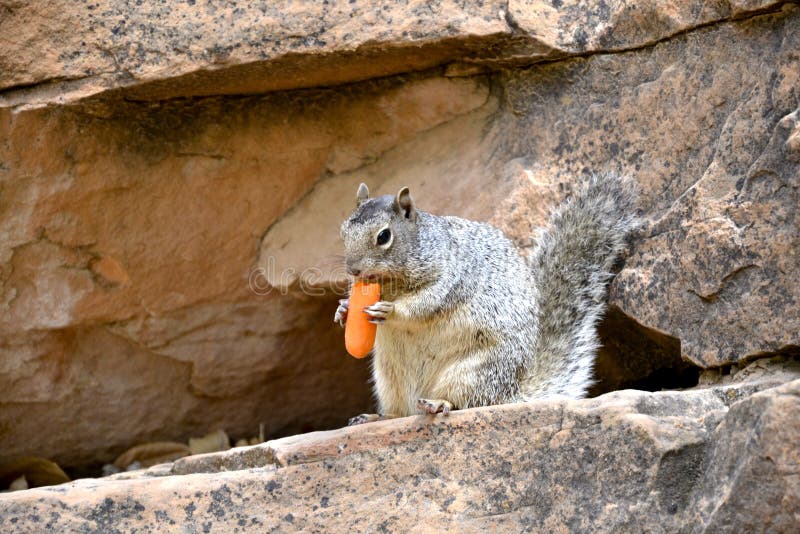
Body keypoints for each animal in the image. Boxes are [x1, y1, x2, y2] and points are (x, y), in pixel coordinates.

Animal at [334, 174, 640, 426]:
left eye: (384, 236)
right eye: (343, 230)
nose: (353, 270)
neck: (392, 283)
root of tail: (510, 394)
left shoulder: (451, 278)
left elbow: (426, 303)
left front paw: (390, 310)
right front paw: (344, 310)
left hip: (472, 372)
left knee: (466, 401)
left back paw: (438, 403)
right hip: (389, 380)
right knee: (400, 412)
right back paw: (376, 417)